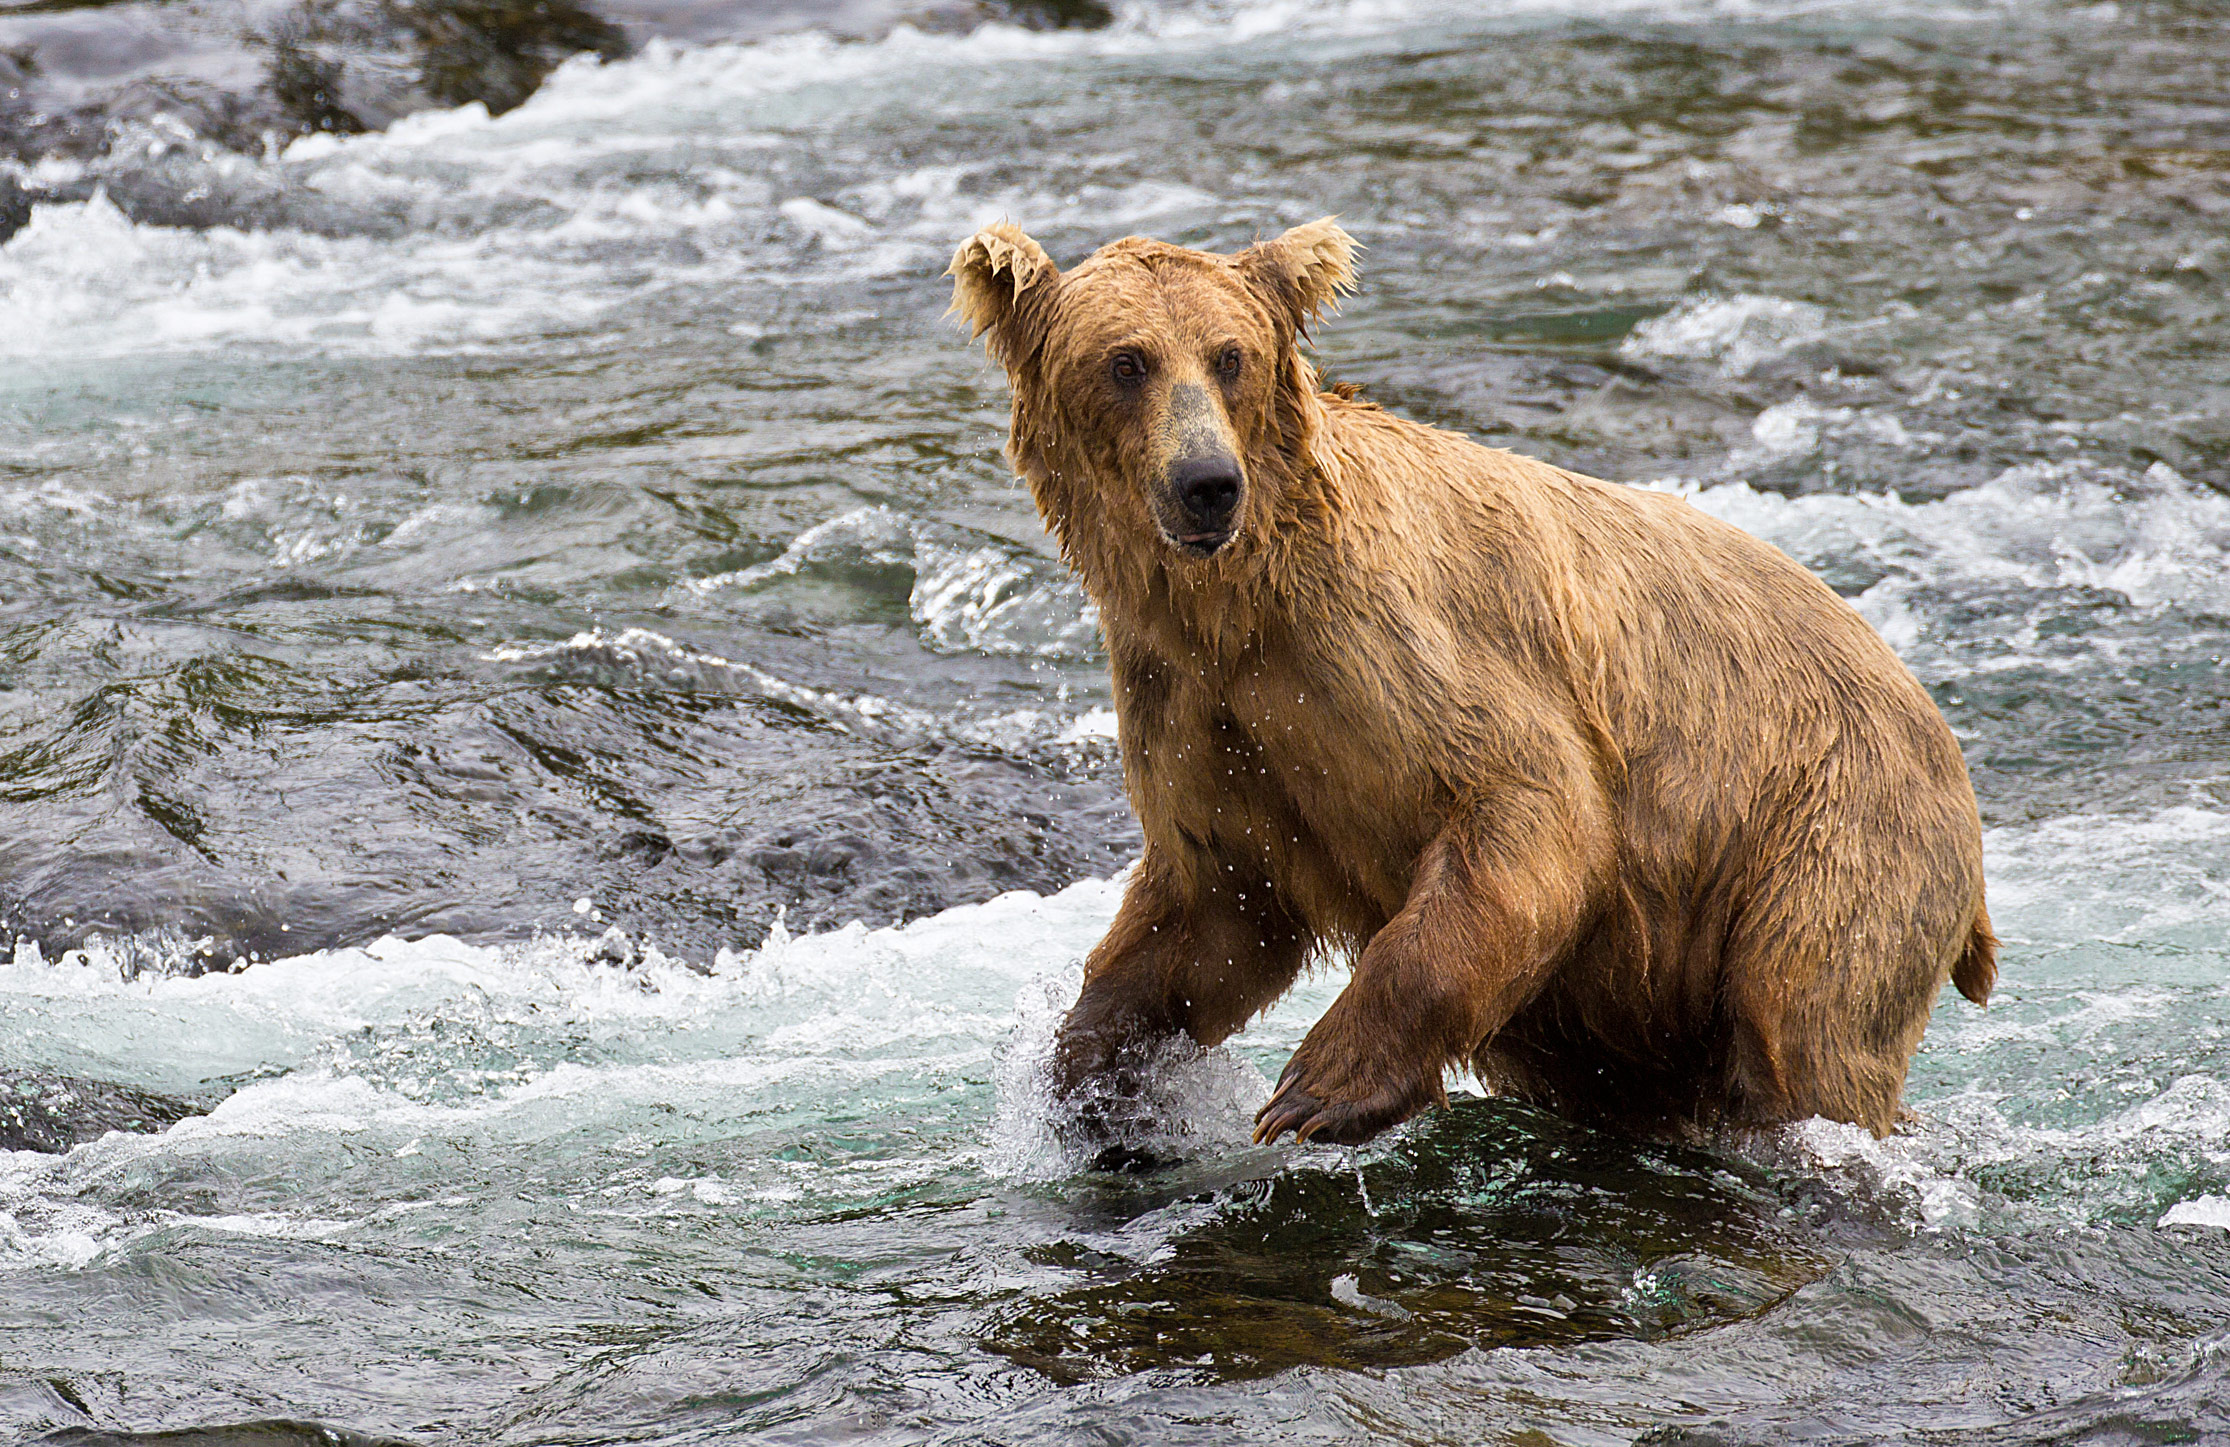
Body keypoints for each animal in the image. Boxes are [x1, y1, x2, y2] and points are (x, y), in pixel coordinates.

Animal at [948, 217, 1994, 1149]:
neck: (1236, 606)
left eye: (1228, 354)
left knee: (1803, 1017)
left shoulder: (1382, 645)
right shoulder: (1198, 707)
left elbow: (1531, 806)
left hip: (1828, 823)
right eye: (1127, 361)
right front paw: (1086, 1079)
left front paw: (1315, 1089)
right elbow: (1211, 909)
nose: (1207, 482)